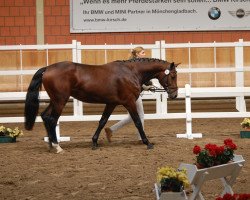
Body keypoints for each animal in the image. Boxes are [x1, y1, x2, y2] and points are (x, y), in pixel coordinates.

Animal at [24, 58, 179, 153]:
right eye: (172, 76)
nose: (174, 95)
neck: (131, 72)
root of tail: (47, 68)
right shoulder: (129, 102)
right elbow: (137, 122)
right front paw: (148, 143)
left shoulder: (111, 103)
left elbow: (102, 121)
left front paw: (94, 143)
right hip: (60, 100)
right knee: (52, 119)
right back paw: (57, 147)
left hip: (55, 100)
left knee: (45, 116)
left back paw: (51, 145)